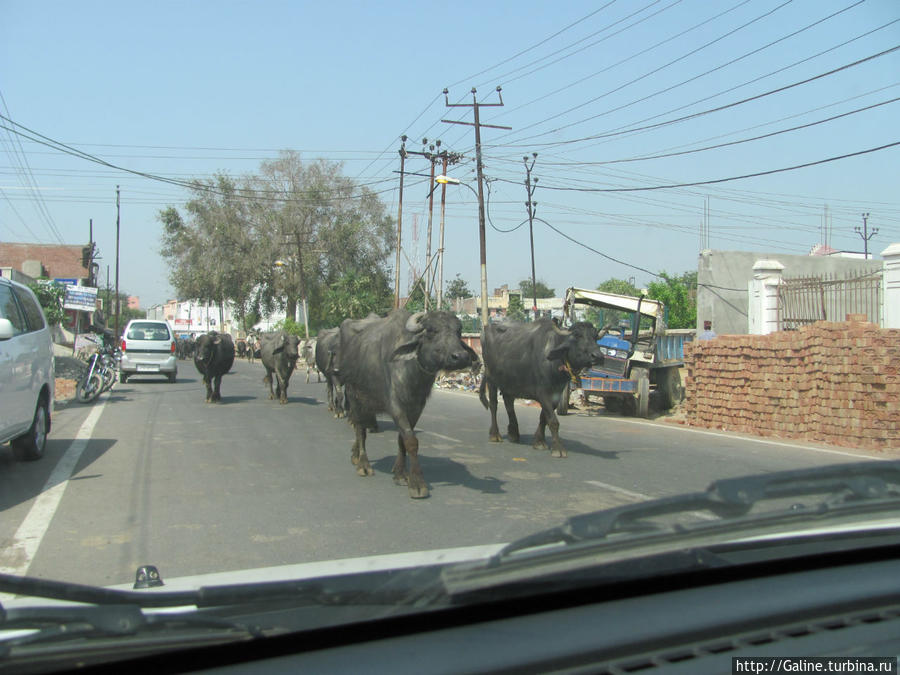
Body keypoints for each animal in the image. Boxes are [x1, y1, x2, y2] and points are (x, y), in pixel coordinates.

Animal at [338, 308, 478, 500]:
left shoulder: (416, 408)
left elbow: (402, 439)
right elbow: (411, 441)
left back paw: (355, 455)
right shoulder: (395, 406)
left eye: (458, 331)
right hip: (354, 396)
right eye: (431, 331)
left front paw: (400, 474)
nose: (461, 357)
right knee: (360, 429)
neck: (413, 373)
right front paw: (417, 483)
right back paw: (363, 465)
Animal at [478, 322, 604, 460]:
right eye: (577, 335)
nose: (598, 356)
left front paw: (539, 441)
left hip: (510, 383)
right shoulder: (543, 393)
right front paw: (558, 449)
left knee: (509, 403)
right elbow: (553, 421)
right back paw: (495, 435)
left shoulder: (556, 394)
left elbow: (544, 418)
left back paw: (514, 433)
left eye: (595, 336)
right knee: (493, 405)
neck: (554, 362)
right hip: (491, 379)